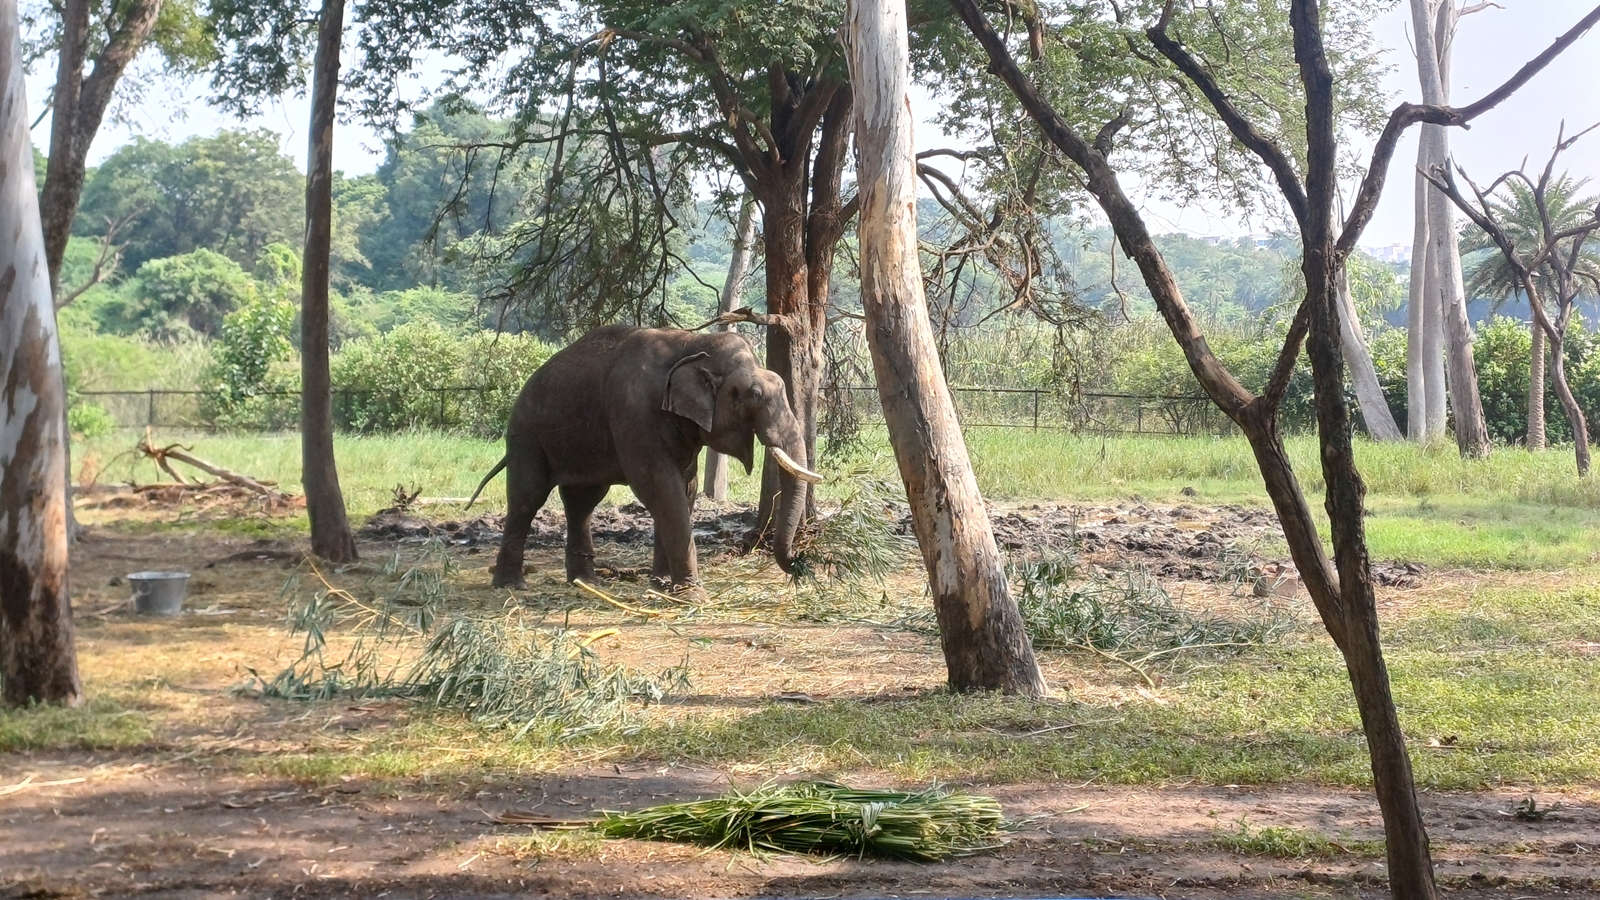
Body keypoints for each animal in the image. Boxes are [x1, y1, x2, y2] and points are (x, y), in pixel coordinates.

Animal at [460, 321, 812, 589]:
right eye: (754, 395)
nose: (800, 561)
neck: (692, 343)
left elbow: (685, 488)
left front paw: (663, 585)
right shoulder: (634, 413)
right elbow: (659, 486)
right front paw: (690, 594)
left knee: (582, 502)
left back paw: (585, 584)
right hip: (526, 435)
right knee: (527, 498)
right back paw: (512, 586)